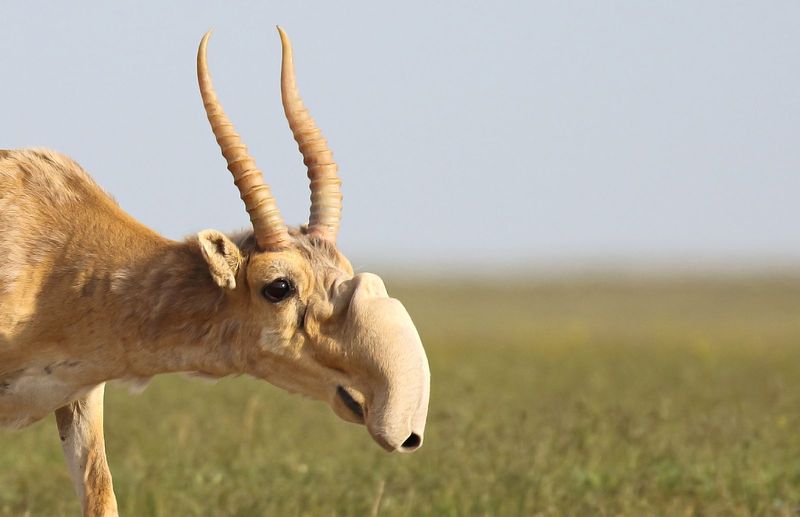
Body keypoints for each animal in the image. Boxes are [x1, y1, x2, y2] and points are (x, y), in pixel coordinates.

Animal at [0, 29, 432, 516]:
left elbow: (101, 495)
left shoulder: (81, 396)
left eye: (343, 269)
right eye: (278, 286)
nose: (403, 424)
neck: (57, 256)